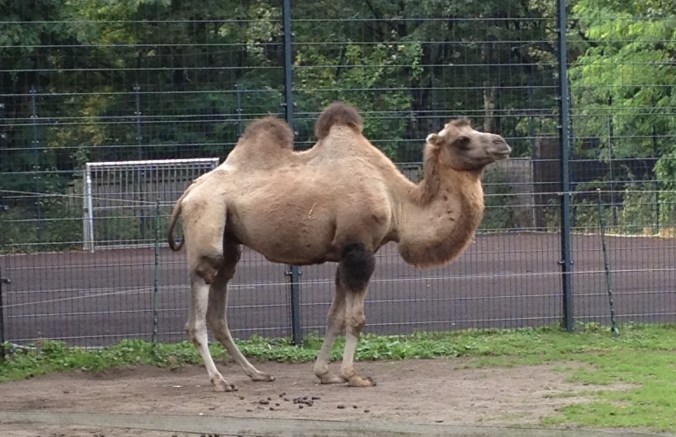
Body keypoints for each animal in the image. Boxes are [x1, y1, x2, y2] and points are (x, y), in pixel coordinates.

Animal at [167, 102, 511, 391]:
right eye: (462, 139)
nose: (502, 143)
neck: (398, 202)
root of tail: (188, 192)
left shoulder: (345, 254)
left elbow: (335, 317)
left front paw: (325, 373)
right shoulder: (360, 249)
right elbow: (355, 320)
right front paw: (353, 375)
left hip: (230, 239)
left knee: (220, 301)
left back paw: (256, 373)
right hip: (207, 216)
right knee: (200, 296)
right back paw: (219, 380)